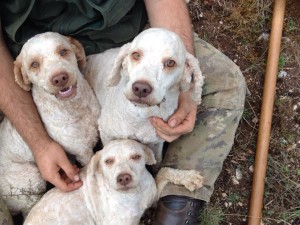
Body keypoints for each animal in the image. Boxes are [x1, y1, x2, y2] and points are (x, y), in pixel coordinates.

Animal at [0, 31, 101, 216]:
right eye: (34, 64)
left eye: (63, 51)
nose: (60, 78)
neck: (76, 108)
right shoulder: (83, 152)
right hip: (31, 179)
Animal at [24, 139, 204, 225]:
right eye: (108, 161)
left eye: (136, 156)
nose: (123, 178)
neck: (133, 194)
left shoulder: (152, 198)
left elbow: (164, 171)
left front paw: (189, 177)